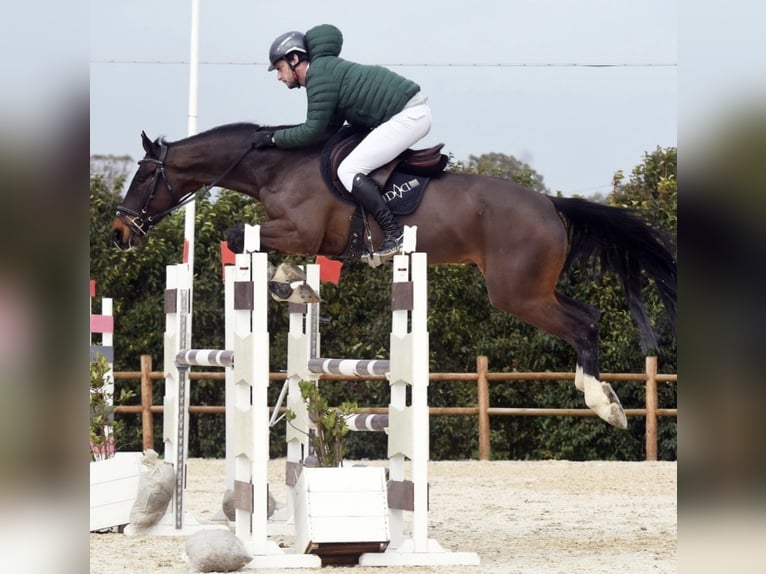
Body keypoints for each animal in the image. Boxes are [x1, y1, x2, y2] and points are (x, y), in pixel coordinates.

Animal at [111, 122, 677, 429]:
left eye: (141, 176)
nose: (119, 233)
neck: (277, 167)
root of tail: (550, 203)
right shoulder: (307, 237)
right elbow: (268, 252)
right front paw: (296, 283)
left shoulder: (298, 229)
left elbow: (236, 235)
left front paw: (287, 281)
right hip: (534, 288)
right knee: (590, 315)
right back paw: (603, 398)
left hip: (517, 293)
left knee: (581, 325)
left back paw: (602, 403)